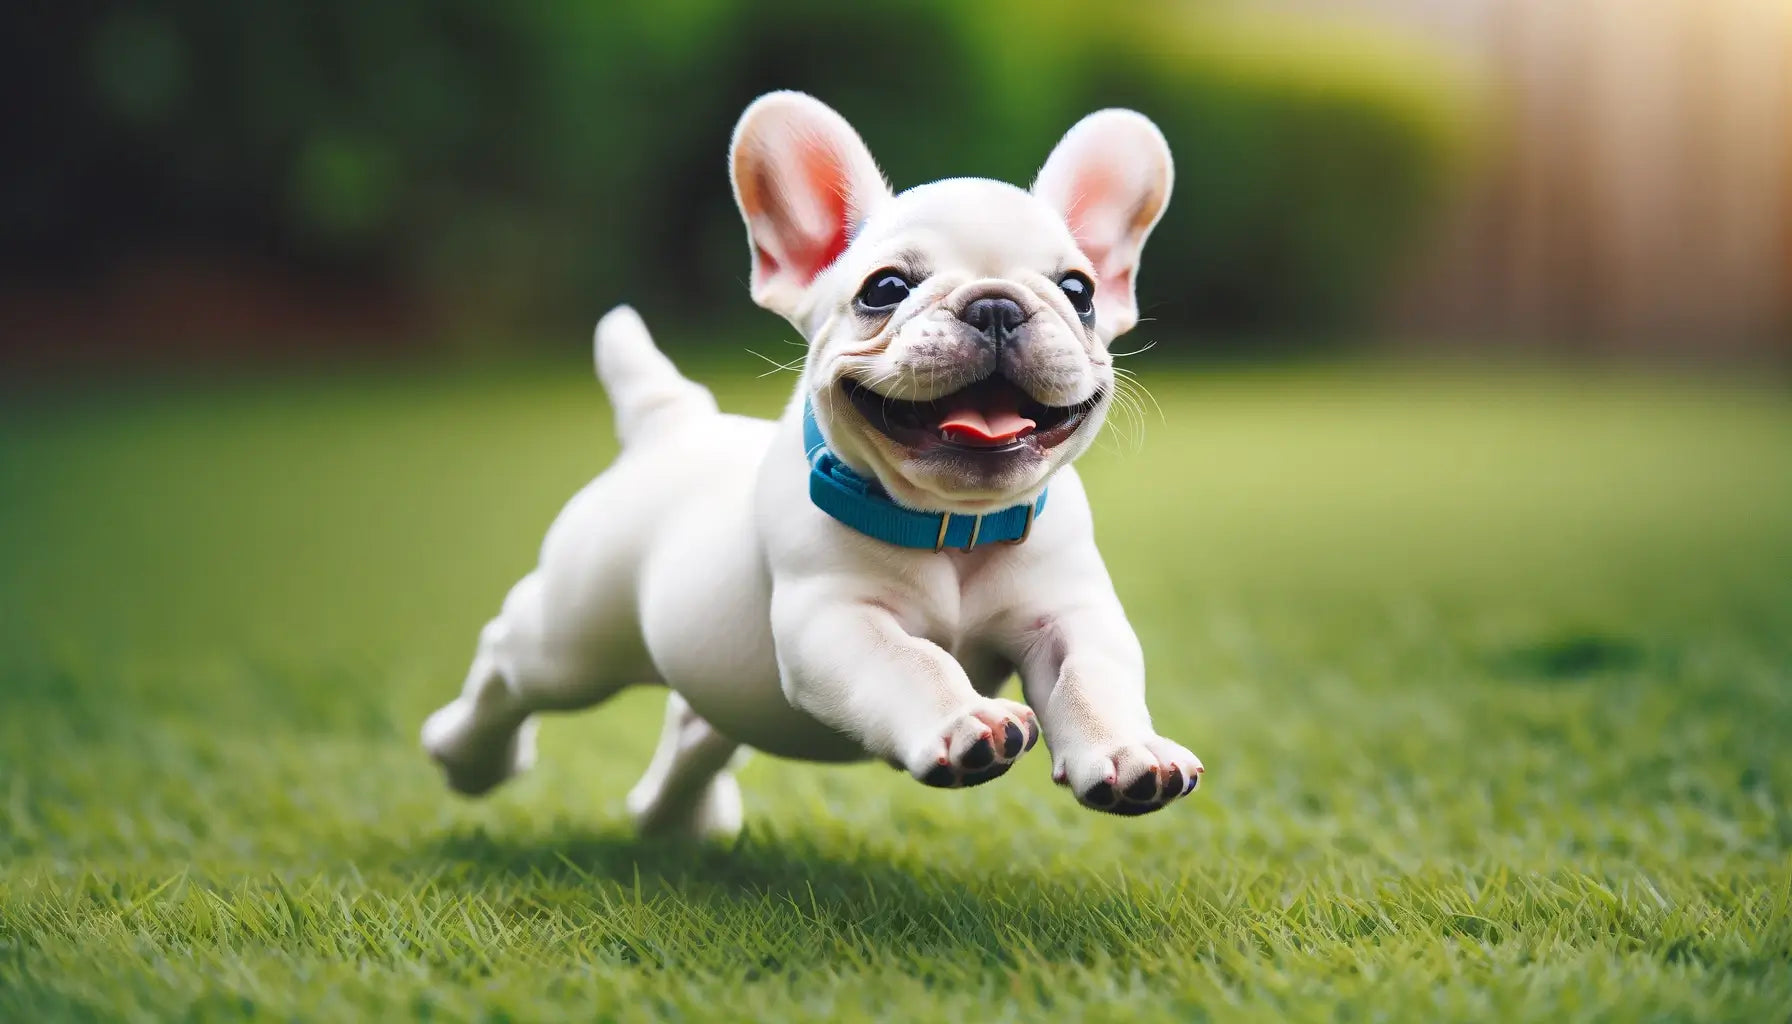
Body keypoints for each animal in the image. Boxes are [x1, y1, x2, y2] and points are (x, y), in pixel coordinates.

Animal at [421, 90, 1204, 842]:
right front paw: (963, 722)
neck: (953, 524)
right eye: (885, 290)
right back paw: (467, 754)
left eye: (1079, 293)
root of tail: (669, 422)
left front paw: (1129, 752)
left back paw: (678, 820)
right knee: (506, 659)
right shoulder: (834, 621)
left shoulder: (1071, 614)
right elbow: (912, 662)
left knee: (696, 726)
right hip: (575, 635)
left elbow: (1093, 676)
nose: (995, 305)